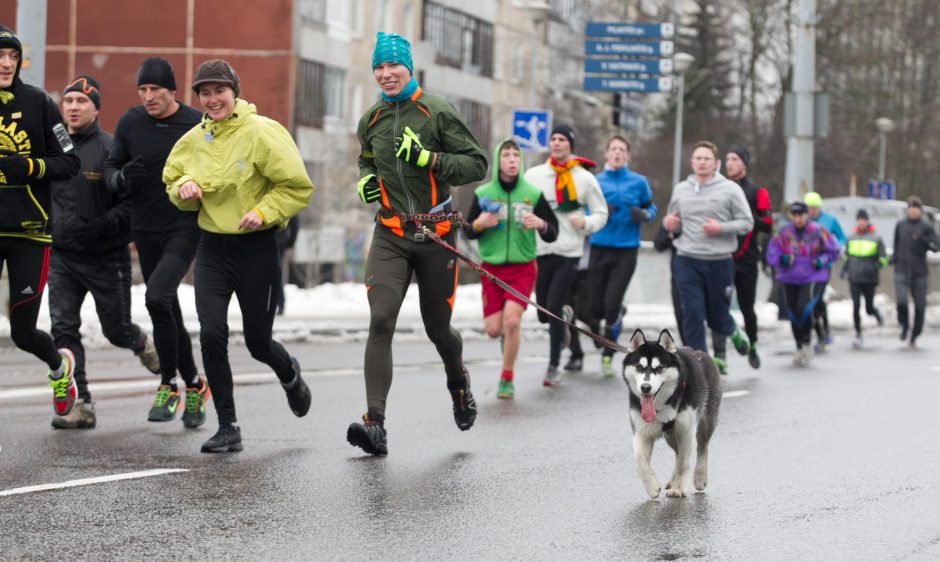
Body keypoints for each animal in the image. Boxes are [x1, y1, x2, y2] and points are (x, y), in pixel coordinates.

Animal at [624, 326, 720, 496]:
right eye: (639, 367)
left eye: (659, 368)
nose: (645, 387)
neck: (665, 403)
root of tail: (701, 353)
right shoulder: (642, 431)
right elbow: (639, 461)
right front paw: (652, 486)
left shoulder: (687, 431)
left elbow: (684, 462)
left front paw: (678, 488)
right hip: (671, 434)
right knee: (677, 453)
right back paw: (672, 479)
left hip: (705, 421)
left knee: (702, 447)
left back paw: (700, 476)